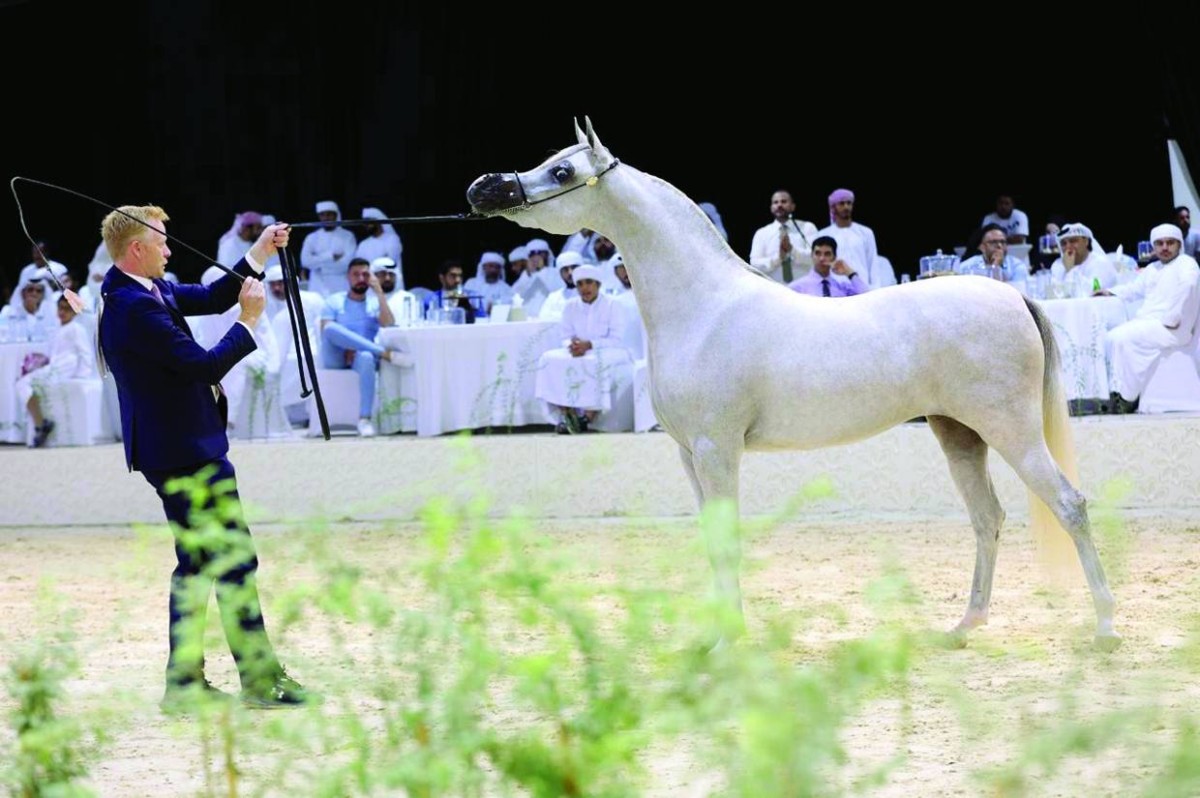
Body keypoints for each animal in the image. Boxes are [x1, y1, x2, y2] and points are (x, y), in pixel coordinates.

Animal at [463, 120, 1118, 652]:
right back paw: (964, 626)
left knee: (1070, 505)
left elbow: (728, 538)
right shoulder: (689, 455)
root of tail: (1010, 294)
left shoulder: (717, 450)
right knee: (987, 518)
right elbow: (711, 539)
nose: (482, 189)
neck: (705, 307)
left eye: (563, 171)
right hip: (959, 435)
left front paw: (729, 643)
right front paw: (716, 638)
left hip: (1011, 430)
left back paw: (1106, 629)